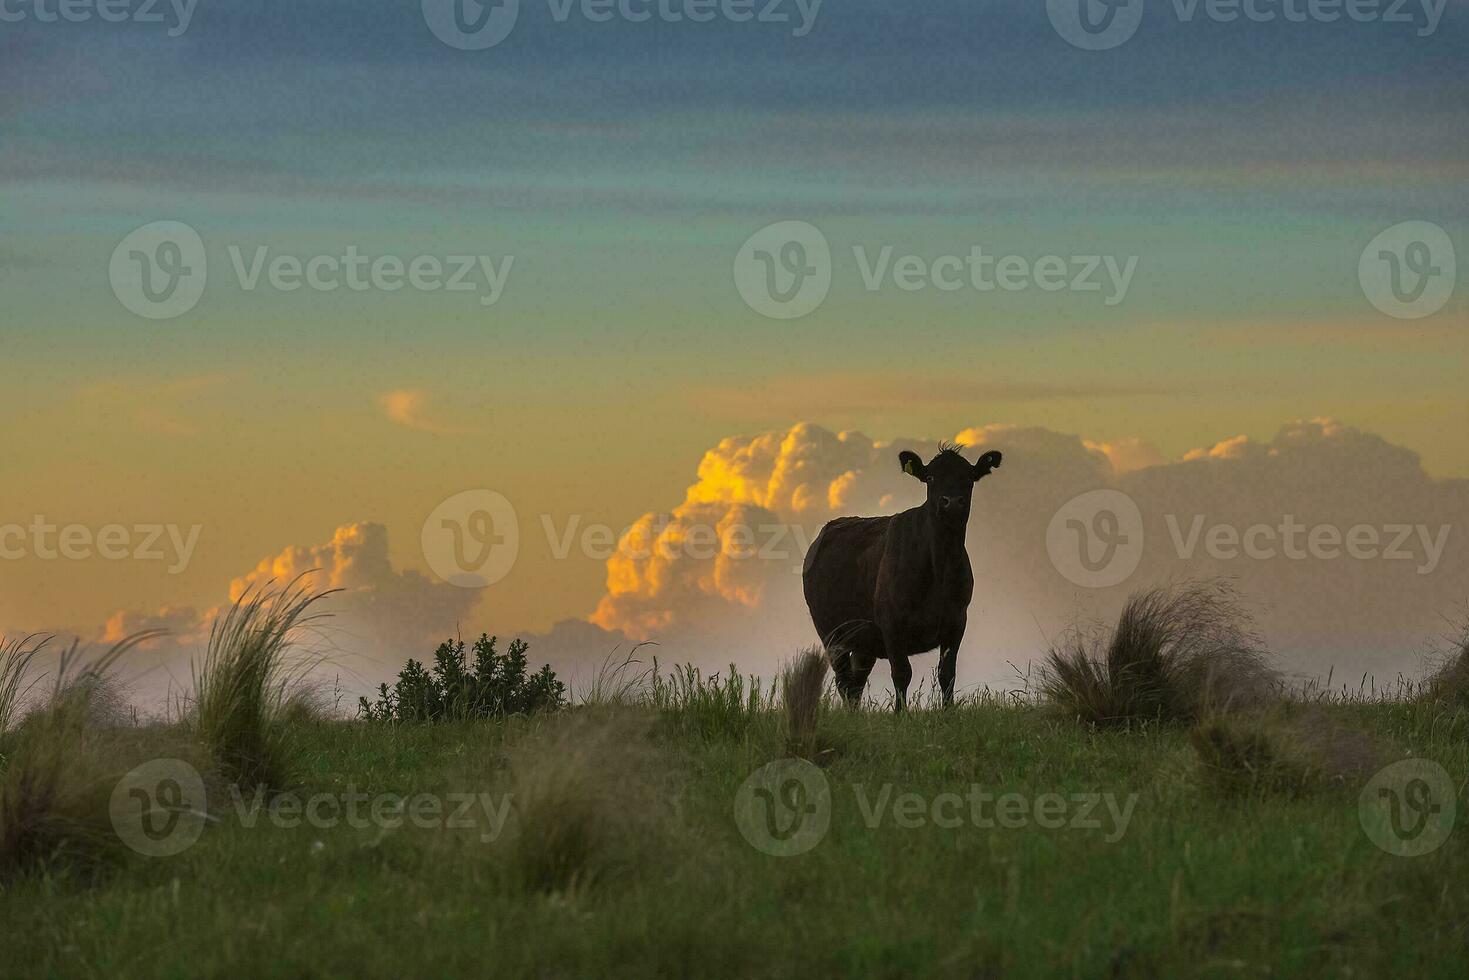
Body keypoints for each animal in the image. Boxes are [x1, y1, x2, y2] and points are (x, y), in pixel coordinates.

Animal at [805, 446, 998, 714]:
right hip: (831, 632)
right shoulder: (892, 623)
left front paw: (948, 712)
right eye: (931, 478)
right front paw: (900, 714)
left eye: (969, 477)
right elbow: (902, 672)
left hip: (865, 639)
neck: (940, 568)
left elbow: (947, 673)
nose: (951, 502)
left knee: (856, 680)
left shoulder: (957, 621)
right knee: (843, 679)